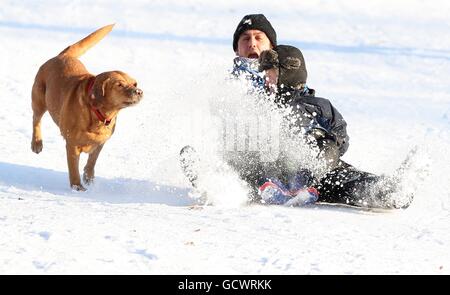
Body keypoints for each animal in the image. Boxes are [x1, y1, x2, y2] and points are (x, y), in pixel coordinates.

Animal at [31, 24, 143, 191]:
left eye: (134, 83)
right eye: (119, 85)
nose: (139, 91)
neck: (98, 114)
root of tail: (62, 55)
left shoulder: (100, 143)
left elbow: (92, 161)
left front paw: (88, 177)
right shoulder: (72, 144)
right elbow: (73, 168)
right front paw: (77, 186)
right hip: (39, 99)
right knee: (36, 119)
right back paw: (37, 143)